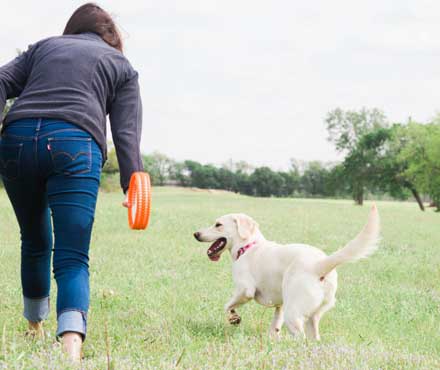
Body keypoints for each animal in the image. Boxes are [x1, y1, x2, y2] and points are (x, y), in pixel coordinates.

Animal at [194, 207, 380, 340]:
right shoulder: (280, 304)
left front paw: (234, 318)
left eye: (218, 224)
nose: (196, 233)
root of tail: (319, 265)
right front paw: (272, 337)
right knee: (313, 338)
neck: (248, 246)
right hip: (312, 316)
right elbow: (275, 323)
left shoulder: (244, 290)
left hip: (294, 313)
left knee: (300, 338)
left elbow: (227, 305)